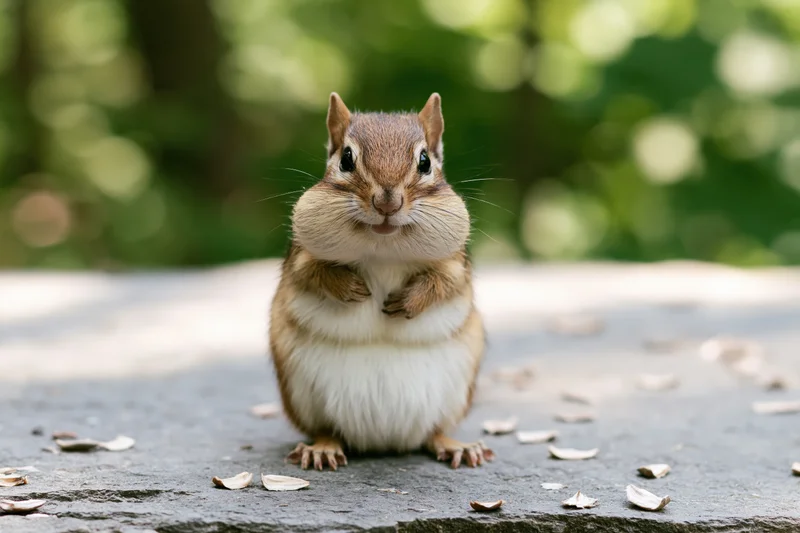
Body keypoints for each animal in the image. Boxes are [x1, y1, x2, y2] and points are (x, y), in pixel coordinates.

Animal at [268, 92, 492, 470]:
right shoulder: (300, 257)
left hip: (456, 392)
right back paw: (322, 448)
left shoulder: (455, 265)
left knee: (434, 431)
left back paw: (456, 446)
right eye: (346, 158)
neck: (383, 248)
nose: (388, 202)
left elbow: (444, 283)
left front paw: (408, 301)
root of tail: (382, 441)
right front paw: (350, 288)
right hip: (302, 395)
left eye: (424, 161)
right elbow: (312, 273)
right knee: (326, 429)